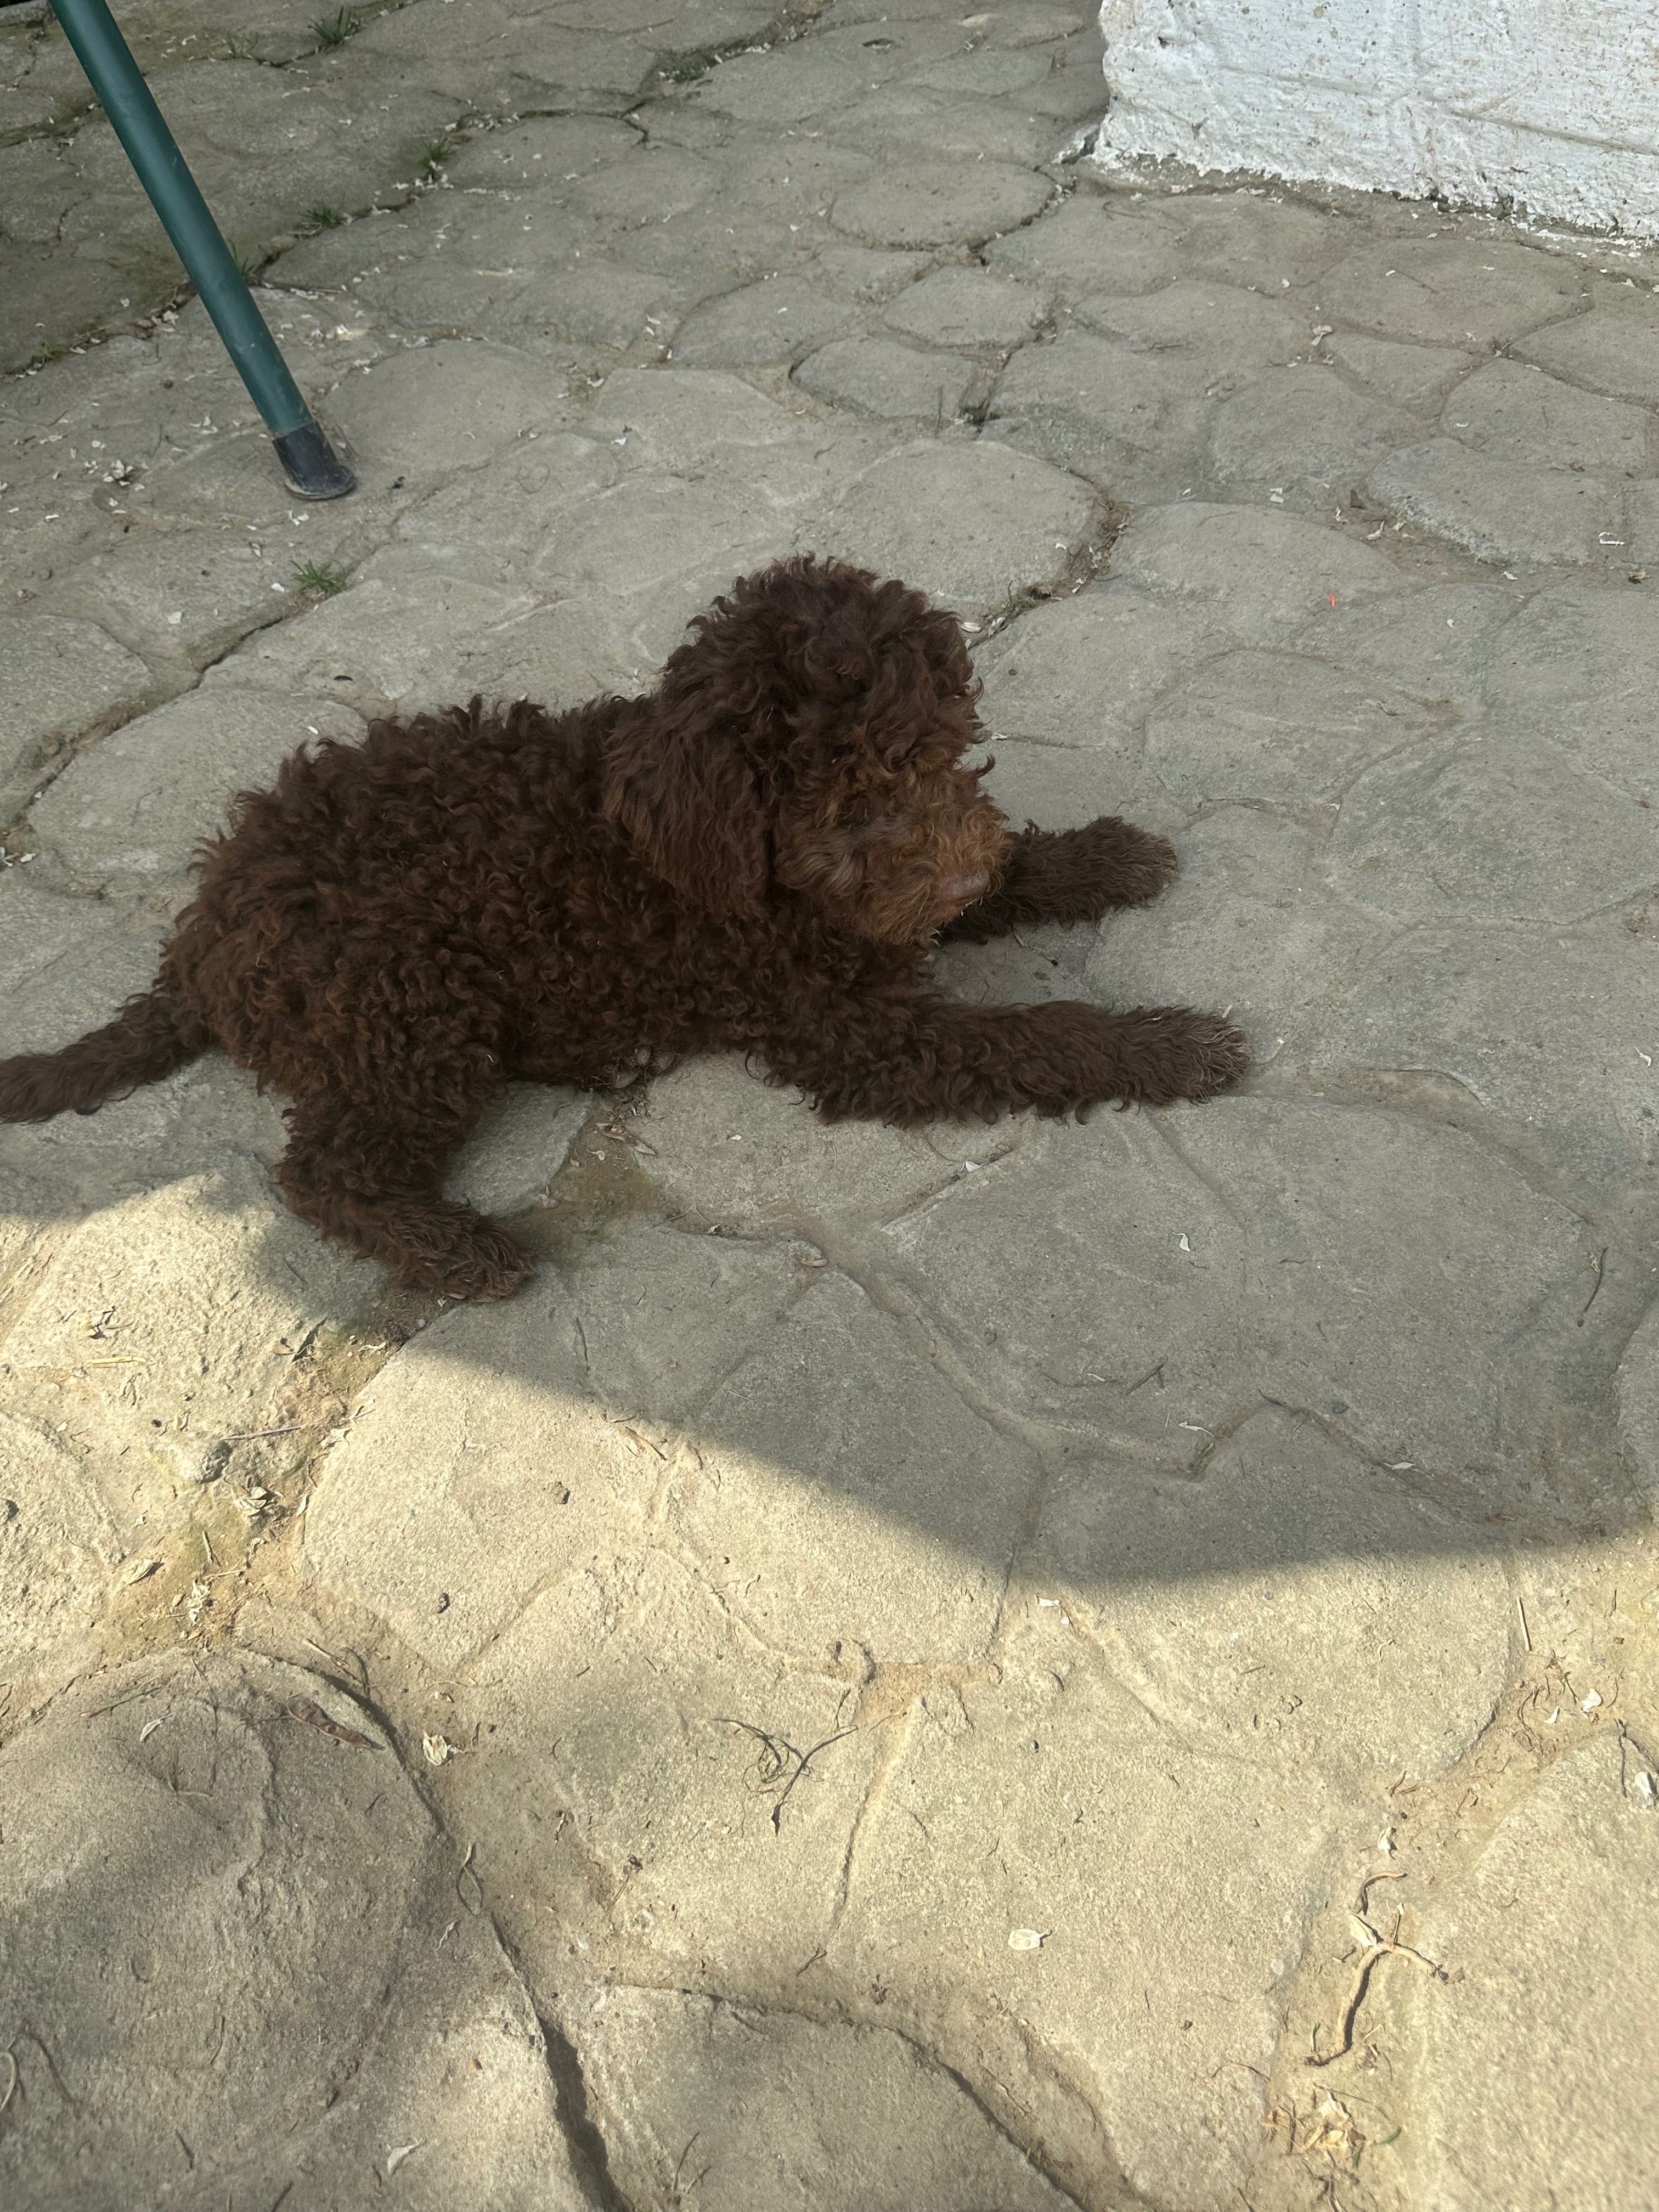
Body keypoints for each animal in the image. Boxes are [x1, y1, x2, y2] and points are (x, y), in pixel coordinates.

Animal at [0, 553, 1248, 1300]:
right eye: (846, 793)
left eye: (943, 751)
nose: (957, 876)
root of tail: (202, 934)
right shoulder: (857, 1035)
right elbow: (1031, 1033)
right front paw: (1171, 1043)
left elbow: (1017, 886)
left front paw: (1102, 857)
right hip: (411, 1014)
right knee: (324, 1172)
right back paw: (463, 1252)